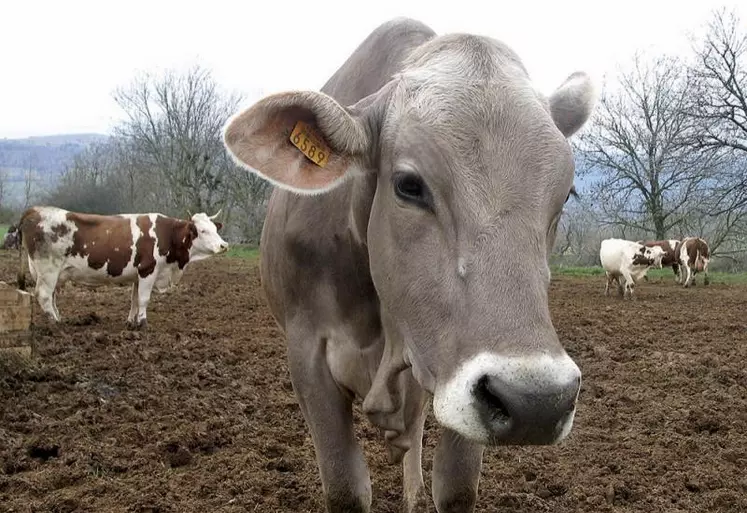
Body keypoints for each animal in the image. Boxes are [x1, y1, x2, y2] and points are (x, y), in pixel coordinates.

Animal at [16, 205, 228, 328]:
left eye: (215, 229)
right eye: (203, 231)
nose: (224, 245)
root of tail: (34, 209)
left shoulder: (138, 274)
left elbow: (134, 300)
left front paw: (131, 322)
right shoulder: (148, 270)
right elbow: (144, 299)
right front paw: (143, 324)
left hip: (48, 272)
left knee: (50, 297)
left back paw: (57, 319)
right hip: (48, 269)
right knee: (44, 295)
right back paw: (55, 324)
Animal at [225, 17, 600, 512]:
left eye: (566, 194)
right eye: (408, 185)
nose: (537, 401)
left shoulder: (458, 379)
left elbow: (455, 487)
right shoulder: (308, 356)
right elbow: (347, 489)